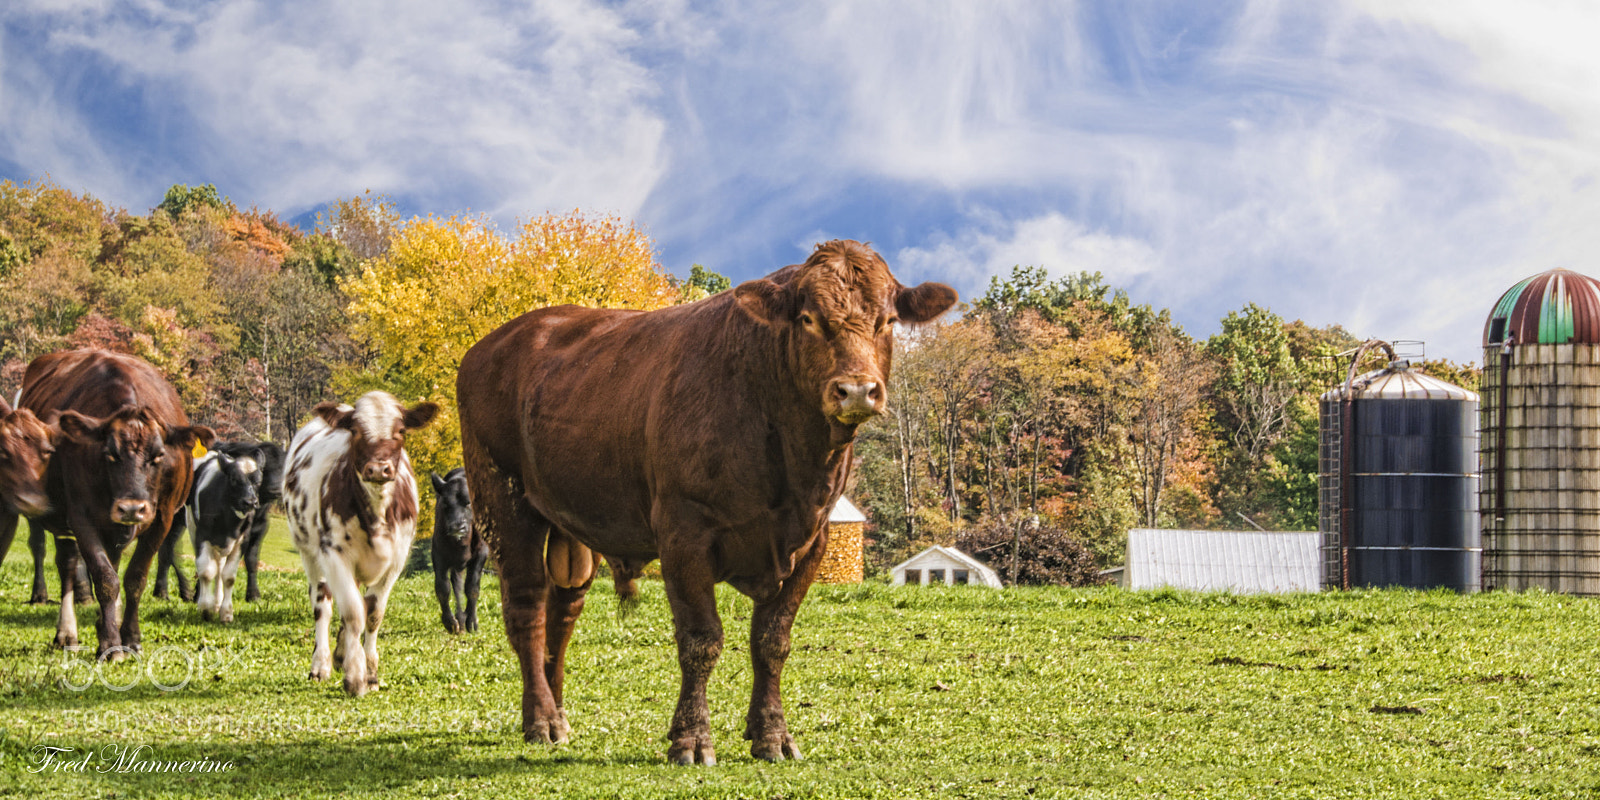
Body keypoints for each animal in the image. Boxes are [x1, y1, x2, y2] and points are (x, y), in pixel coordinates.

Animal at [19, 349, 214, 659]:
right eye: (110, 453)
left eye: (159, 455)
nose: (132, 508)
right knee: (68, 564)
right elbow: (105, 579)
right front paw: (111, 643)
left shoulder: (162, 518)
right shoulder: (81, 517)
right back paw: (68, 632)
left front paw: (130, 638)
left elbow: (135, 578)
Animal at [152, 448, 263, 621]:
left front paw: (226, 612)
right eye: (233, 479)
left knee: (219, 567)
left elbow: (228, 576)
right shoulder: (202, 535)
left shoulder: (242, 540)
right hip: (188, 525)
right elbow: (206, 571)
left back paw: (217, 601)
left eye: (258, 481)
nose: (250, 502)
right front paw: (205, 608)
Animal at [284, 391, 438, 696]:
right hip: (309, 552)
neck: (376, 513)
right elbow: (354, 612)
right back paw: (321, 664)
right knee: (323, 604)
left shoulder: (397, 560)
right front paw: (355, 677)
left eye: (401, 430)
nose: (378, 469)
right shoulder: (333, 554)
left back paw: (341, 654)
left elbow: (373, 613)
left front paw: (371, 673)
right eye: (354, 430)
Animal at [429, 468, 487, 634]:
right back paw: (459, 620)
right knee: (456, 587)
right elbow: (443, 588)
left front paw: (471, 621)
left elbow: (472, 587)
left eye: (468, 503)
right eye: (445, 504)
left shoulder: (481, 553)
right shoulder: (438, 555)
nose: (457, 527)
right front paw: (449, 622)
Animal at [457, 240, 956, 764]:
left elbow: (772, 640)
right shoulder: (684, 532)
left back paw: (559, 713)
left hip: (572, 525)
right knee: (526, 608)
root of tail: (498, 339)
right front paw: (692, 738)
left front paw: (772, 734)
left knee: (563, 610)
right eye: (808, 319)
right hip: (504, 503)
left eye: (888, 321)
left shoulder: (812, 538)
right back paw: (541, 719)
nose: (857, 389)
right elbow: (701, 640)